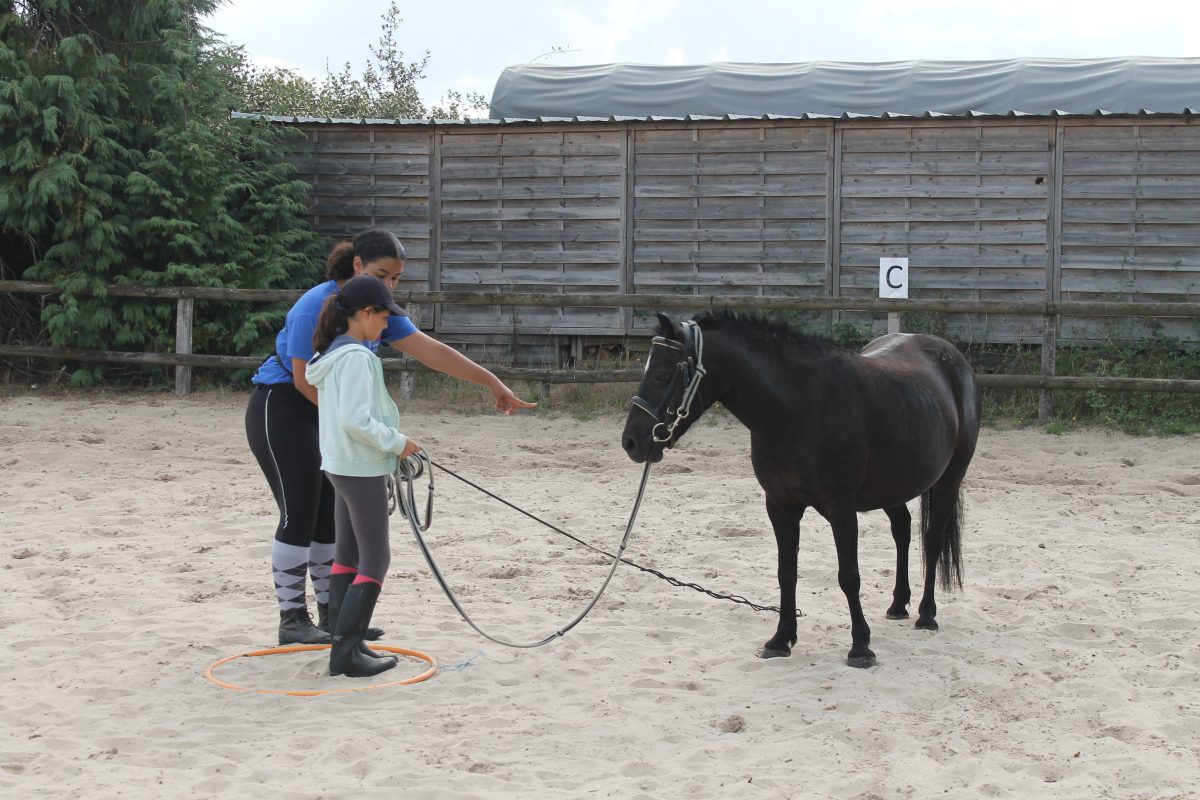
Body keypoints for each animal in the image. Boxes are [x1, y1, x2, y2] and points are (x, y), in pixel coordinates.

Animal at [624, 311, 979, 671]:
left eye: (662, 376)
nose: (632, 442)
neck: (800, 407)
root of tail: (952, 357)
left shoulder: (841, 509)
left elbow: (849, 576)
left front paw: (860, 647)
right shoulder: (780, 506)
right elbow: (786, 572)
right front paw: (781, 639)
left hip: (949, 480)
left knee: (932, 541)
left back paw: (926, 614)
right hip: (893, 487)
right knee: (902, 531)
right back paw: (898, 605)